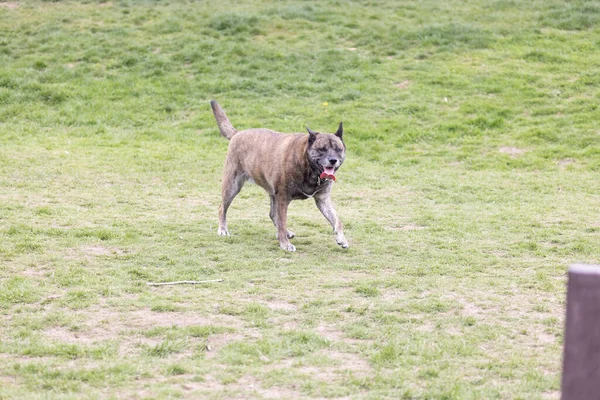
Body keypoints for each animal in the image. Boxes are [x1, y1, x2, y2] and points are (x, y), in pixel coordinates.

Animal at [210, 100, 346, 252]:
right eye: (322, 149)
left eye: (338, 149)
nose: (333, 160)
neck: (306, 163)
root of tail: (237, 133)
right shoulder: (283, 198)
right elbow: (282, 222)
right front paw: (285, 244)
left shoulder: (322, 200)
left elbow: (337, 220)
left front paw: (341, 238)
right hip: (232, 186)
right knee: (222, 208)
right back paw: (223, 229)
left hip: (271, 193)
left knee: (272, 214)